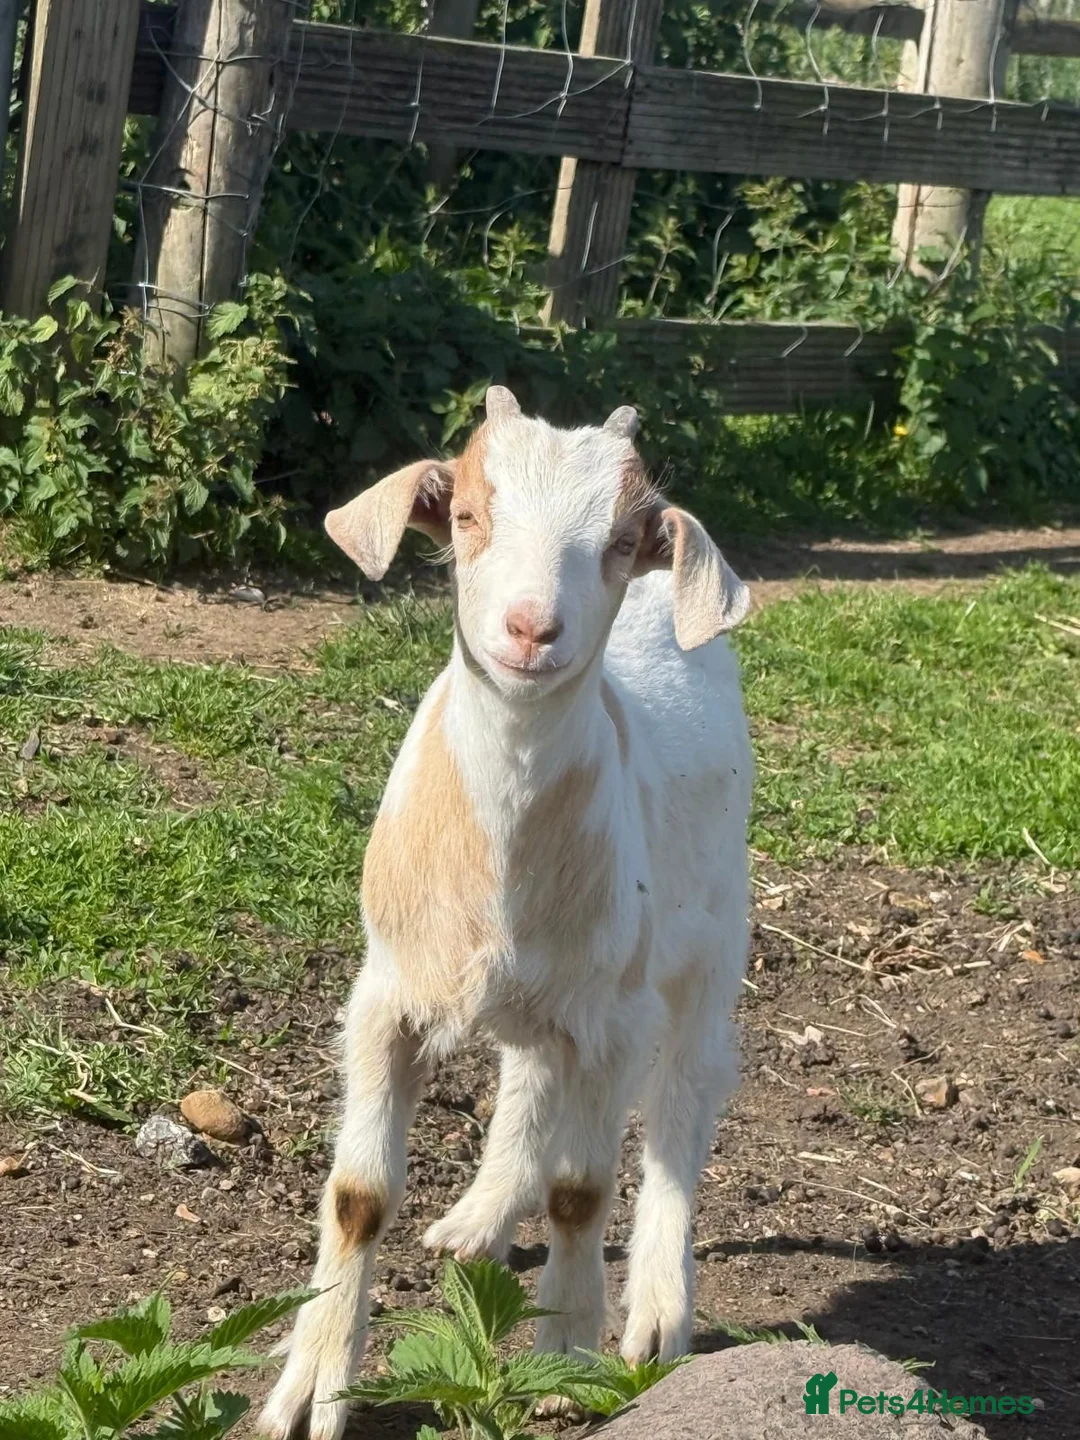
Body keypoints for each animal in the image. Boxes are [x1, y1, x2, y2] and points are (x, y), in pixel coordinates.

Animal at [260, 387, 753, 1440]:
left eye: (619, 540)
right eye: (468, 515)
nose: (532, 629)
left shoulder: (613, 1016)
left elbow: (581, 1193)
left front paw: (565, 1358)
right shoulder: (385, 993)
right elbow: (358, 1195)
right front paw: (308, 1388)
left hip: (707, 943)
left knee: (682, 1102)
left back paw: (658, 1313)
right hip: (548, 988)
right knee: (530, 1071)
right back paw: (477, 1219)